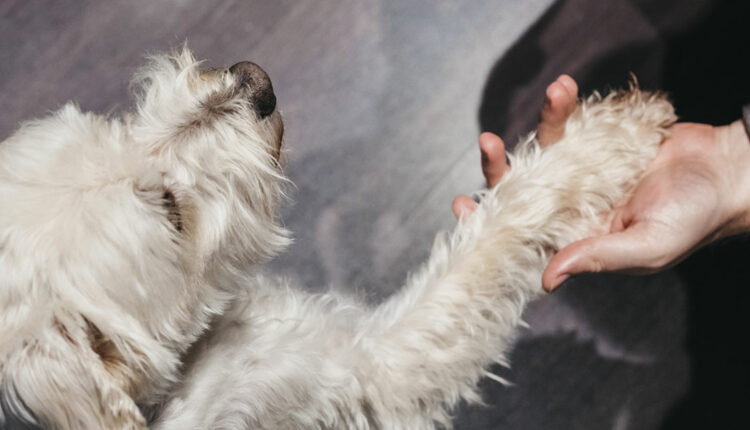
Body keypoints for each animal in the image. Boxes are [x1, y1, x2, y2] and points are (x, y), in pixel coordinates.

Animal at [0, 45, 680, 428]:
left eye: (108, 130)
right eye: (170, 212)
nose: (255, 81)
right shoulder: (368, 369)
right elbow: (489, 241)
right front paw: (600, 143)